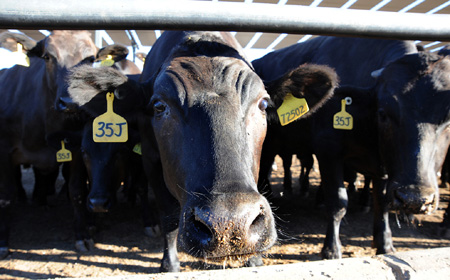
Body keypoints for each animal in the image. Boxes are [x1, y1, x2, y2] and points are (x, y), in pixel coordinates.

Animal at [0, 30, 97, 258]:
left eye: (91, 59)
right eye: (47, 57)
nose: (70, 102)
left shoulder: (76, 151)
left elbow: (77, 191)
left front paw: (82, 236)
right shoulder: (4, 151)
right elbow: (6, 196)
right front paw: (3, 243)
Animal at [65, 30, 336, 272]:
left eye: (263, 104)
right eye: (159, 106)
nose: (231, 225)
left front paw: (254, 260)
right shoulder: (150, 161)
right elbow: (168, 217)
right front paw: (170, 264)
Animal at [253, 36, 446, 260]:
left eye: (448, 119)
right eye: (383, 112)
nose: (415, 199)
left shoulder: (385, 166)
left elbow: (382, 202)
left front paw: (385, 244)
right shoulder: (328, 151)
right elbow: (338, 202)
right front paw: (331, 249)